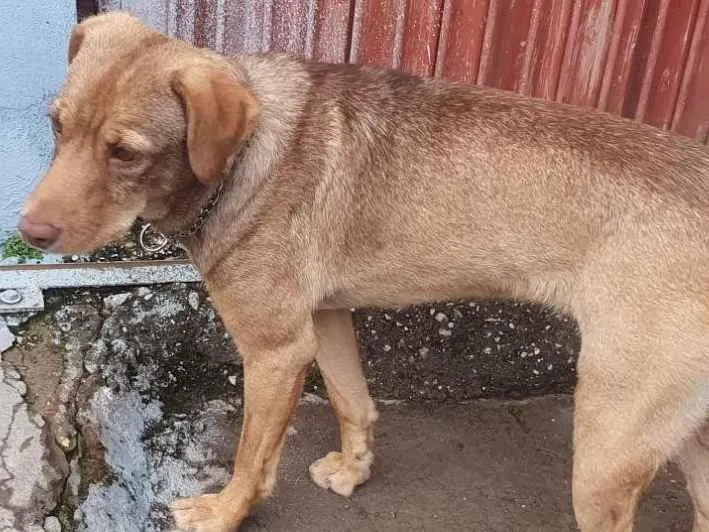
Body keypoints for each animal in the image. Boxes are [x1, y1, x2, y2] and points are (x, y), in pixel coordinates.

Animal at [19, 11, 709, 532]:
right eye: (57, 125)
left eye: (124, 152)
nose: (28, 234)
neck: (248, 152)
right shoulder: (324, 320)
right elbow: (354, 402)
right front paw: (355, 471)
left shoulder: (274, 350)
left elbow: (250, 459)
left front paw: (224, 513)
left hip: (605, 452)